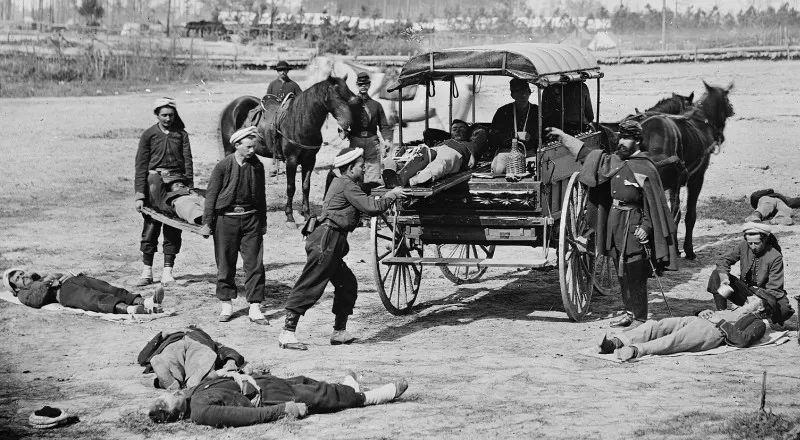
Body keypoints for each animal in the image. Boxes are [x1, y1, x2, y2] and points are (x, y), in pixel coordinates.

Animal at [219, 75, 360, 225]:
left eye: (350, 95)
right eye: (337, 96)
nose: (347, 125)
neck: (300, 124)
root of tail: (234, 105)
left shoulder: (310, 161)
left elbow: (306, 187)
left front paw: (307, 214)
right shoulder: (291, 161)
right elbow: (291, 187)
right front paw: (290, 216)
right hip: (229, 149)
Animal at [640, 81, 734, 260]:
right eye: (726, 100)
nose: (732, 109)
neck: (701, 122)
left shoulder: (674, 184)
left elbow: (674, 215)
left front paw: (676, 249)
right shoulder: (696, 179)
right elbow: (689, 216)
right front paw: (688, 249)